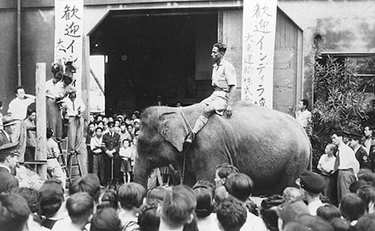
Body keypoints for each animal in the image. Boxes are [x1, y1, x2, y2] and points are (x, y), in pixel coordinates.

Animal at [135, 102, 312, 194]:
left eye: (142, 143)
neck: (178, 111)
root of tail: (305, 134)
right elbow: (188, 183)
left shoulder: (210, 148)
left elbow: (207, 180)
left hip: (295, 160)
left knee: (287, 185)